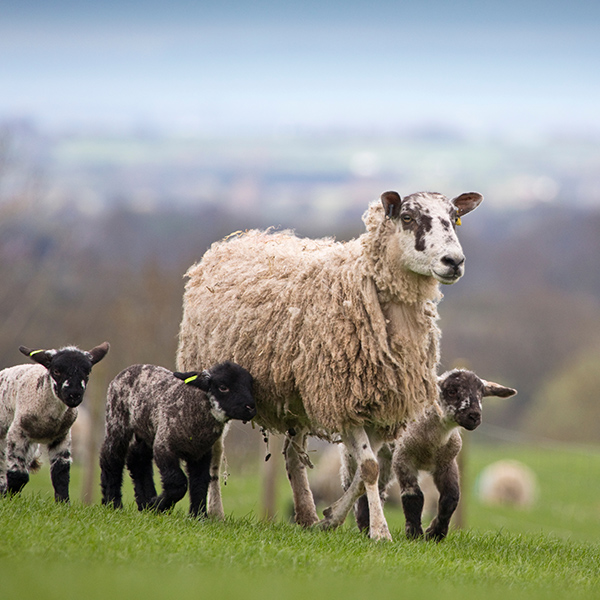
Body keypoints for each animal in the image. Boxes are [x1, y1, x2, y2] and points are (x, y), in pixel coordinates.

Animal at [0, 342, 110, 502]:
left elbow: (61, 473)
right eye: (56, 371)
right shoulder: (17, 433)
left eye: (87, 372)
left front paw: (63, 502)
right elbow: (18, 474)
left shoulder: (62, 437)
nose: (74, 394)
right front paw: (10, 500)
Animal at [99, 360, 254, 516]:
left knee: (137, 459)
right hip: (117, 419)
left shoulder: (201, 453)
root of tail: (130, 368)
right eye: (223, 387)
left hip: (146, 429)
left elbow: (200, 482)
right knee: (111, 459)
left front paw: (198, 515)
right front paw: (157, 505)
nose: (251, 408)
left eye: (250, 386)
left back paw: (144, 502)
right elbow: (177, 483)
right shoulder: (164, 446)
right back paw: (113, 503)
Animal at [178, 189, 482, 540]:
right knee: (216, 448)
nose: (454, 262)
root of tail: (236, 239)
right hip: (213, 381)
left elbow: (365, 471)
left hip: (297, 396)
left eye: (454, 218)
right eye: (407, 217)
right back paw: (215, 511)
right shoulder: (343, 397)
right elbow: (369, 468)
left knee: (292, 455)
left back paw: (307, 516)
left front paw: (331, 518)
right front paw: (380, 531)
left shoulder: (379, 408)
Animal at [354, 368, 516, 540]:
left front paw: (435, 533)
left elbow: (451, 497)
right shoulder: (403, 458)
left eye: (481, 394)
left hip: (385, 457)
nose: (474, 416)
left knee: (377, 488)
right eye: (451, 391)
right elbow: (413, 496)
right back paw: (364, 526)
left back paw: (368, 526)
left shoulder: (446, 463)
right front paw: (414, 534)